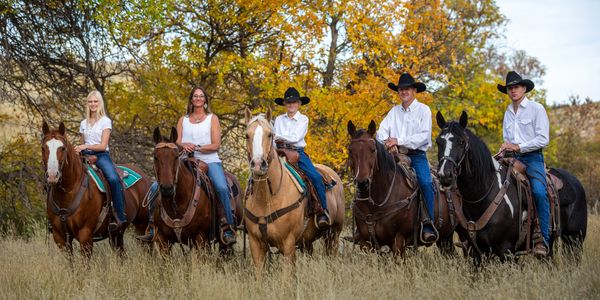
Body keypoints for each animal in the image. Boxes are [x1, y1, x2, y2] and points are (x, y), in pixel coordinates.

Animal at [41, 122, 154, 258]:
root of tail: (143, 176)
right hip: (117, 234)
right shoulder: (60, 238)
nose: (52, 176)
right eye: (43, 148)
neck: (68, 192)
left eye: (62, 148)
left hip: (143, 224)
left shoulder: (85, 235)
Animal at [151, 126, 243, 255]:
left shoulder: (199, 238)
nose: (167, 189)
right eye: (155, 157)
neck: (176, 204)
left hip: (223, 242)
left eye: (176, 157)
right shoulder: (162, 239)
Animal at [344, 119, 458, 255]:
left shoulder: (399, 241)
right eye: (350, 150)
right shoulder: (365, 243)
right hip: (445, 239)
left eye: (372, 150)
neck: (377, 203)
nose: (362, 183)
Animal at [434, 111, 588, 262]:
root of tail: (575, 182)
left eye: (461, 142)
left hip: (575, 239)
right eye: (438, 142)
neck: (484, 195)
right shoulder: (475, 252)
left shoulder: (507, 250)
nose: (445, 174)